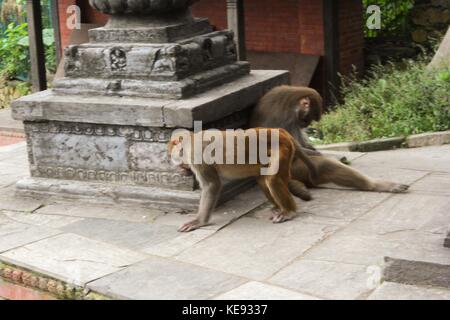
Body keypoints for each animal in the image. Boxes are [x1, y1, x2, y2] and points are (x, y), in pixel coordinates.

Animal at [167, 127, 318, 232]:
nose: (180, 169)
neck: (189, 141)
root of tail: (280, 131)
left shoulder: (197, 154)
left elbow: (211, 185)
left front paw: (199, 221)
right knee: (263, 180)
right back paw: (277, 208)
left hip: (282, 149)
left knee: (272, 180)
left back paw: (288, 211)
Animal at [251, 85, 410, 200]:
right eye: (307, 119)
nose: (306, 124)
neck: (292, 103)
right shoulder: (287, 119)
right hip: (294, 169)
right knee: (322, 165)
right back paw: (375, 185)